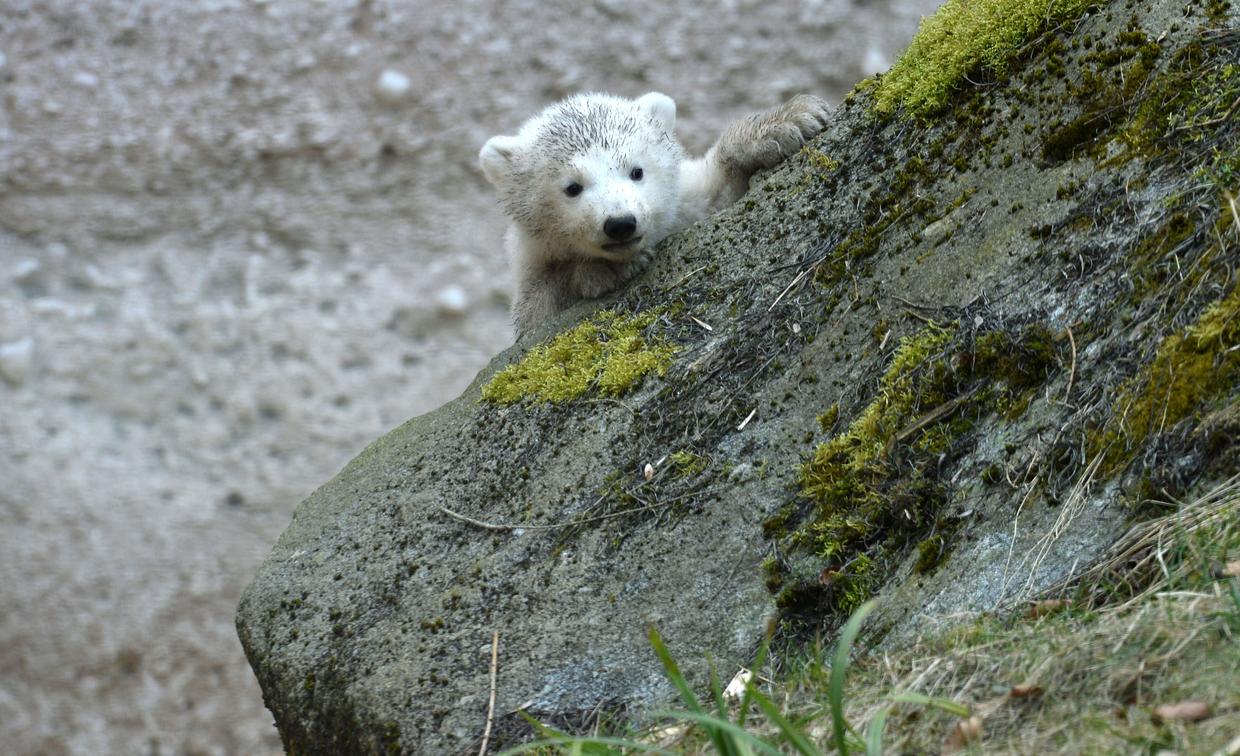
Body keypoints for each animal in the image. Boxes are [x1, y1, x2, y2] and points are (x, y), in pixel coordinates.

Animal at [479, 91, 830, 338]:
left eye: (637, 171)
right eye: (572, 187)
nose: (620, 224)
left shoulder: (681, 207)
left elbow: (718, 193)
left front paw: (790, 121)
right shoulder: (532, 274)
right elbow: (541, 305)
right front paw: (608, 270)